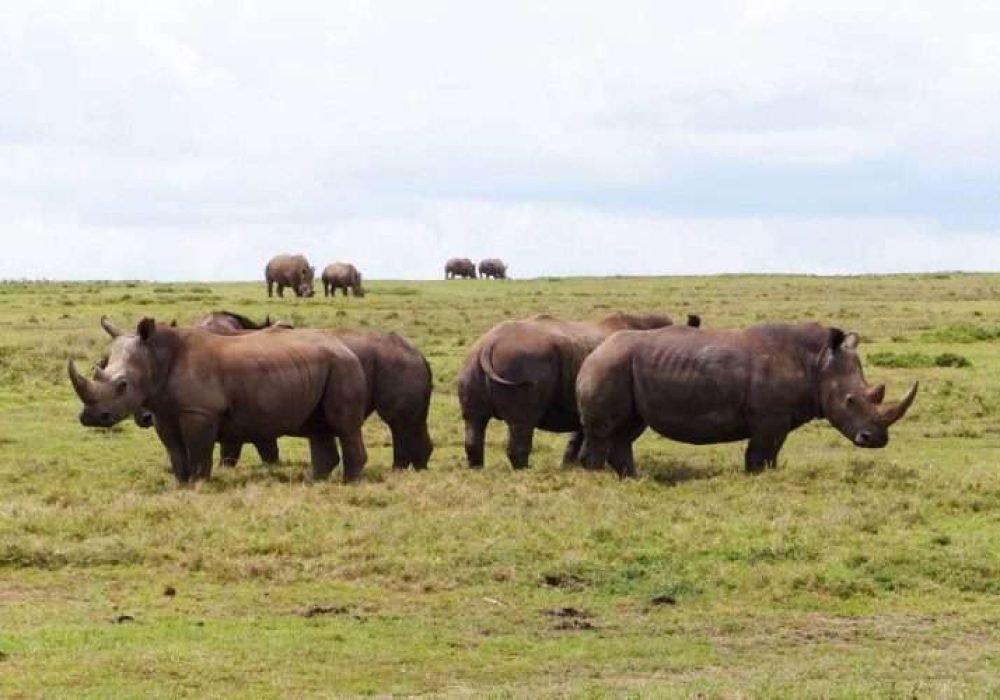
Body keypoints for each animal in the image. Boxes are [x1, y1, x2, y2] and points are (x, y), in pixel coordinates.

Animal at [69, 317, 369, 483]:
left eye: (123, 386)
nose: (90, 418)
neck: (156, 356)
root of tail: (344, 347)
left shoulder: (200, 411)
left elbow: (199, 452)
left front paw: (199, 484)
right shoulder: (164, 412)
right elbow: (175, 453)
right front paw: (181, 484)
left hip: (342, 367)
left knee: (344, 426)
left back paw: (348, 483)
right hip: (321, 367)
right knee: (317, 427)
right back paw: (315, 482)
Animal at [457, 312, 699, 469]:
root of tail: (489, 344)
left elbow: (577, 438)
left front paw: (569, 468)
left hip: (472, 361)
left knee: (474, 420)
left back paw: (477, 469)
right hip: (522, 361)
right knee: (522, 422)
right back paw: (524, 471)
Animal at [576, 322, 919, 478]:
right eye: (849, 400)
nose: (876, 440)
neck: (818, 363)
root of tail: (594, 350)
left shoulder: (777, 420)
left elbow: (770, 455)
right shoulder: (770, 419)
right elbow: (760, 455)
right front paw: (757, 477)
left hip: (621, 367)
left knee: (626, 431)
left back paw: (632, 479)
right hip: (609, 365)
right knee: (605, 431)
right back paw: (599, 477)